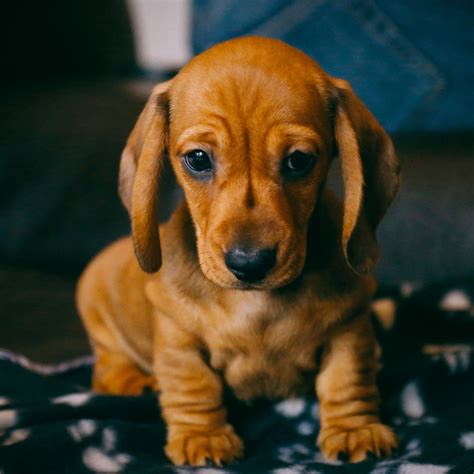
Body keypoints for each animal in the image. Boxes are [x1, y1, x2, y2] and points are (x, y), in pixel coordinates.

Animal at [77, 38, 400, 466]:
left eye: (299, 160)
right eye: (198, 159)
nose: (249, 264)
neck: (256, 304)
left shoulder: (348, 327)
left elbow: (347, 380)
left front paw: (353, 428)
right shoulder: (178, 338)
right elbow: (193, 386)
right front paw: (203, 437)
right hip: (99, 315)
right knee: (107, 369)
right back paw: (136, 382)